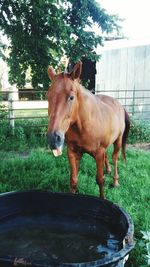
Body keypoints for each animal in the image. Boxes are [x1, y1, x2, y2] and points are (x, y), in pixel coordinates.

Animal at [46, 61, 130, 198]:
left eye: (71, 97)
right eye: (47, 96)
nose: (53, 138)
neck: (83, 126)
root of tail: (120, 106)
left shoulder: (99, 153)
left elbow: (100, 180)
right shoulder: (73, 152)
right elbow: (73, 180)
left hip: (118, 140)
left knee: (114, 158)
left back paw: (115, 181)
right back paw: (108, 170)